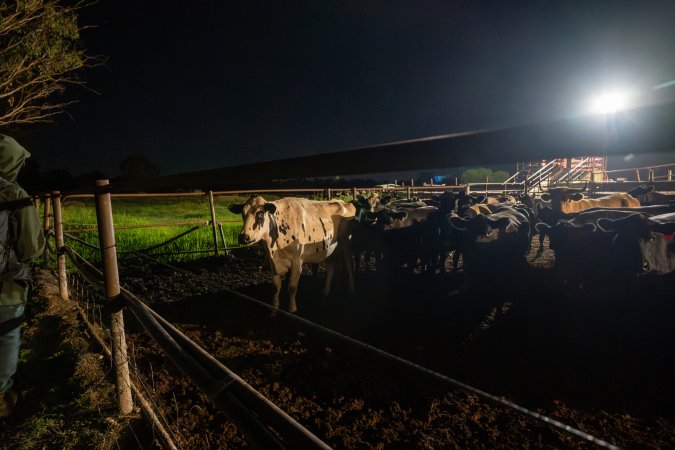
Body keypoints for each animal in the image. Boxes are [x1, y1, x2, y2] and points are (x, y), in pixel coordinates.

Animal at [228, 195, 356, 314]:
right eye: (242, 214)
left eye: (260, 213)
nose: (243, 237)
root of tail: (343, 202)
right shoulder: (272, 262)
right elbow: (276, 286)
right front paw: (274, 309)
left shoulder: (297, 261)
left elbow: (292, 287)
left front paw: (292, 309)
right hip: (330, 249)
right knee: (331, 267)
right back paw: (325, 292)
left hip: (346, 242)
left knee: (349, 264)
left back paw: (351, 289)